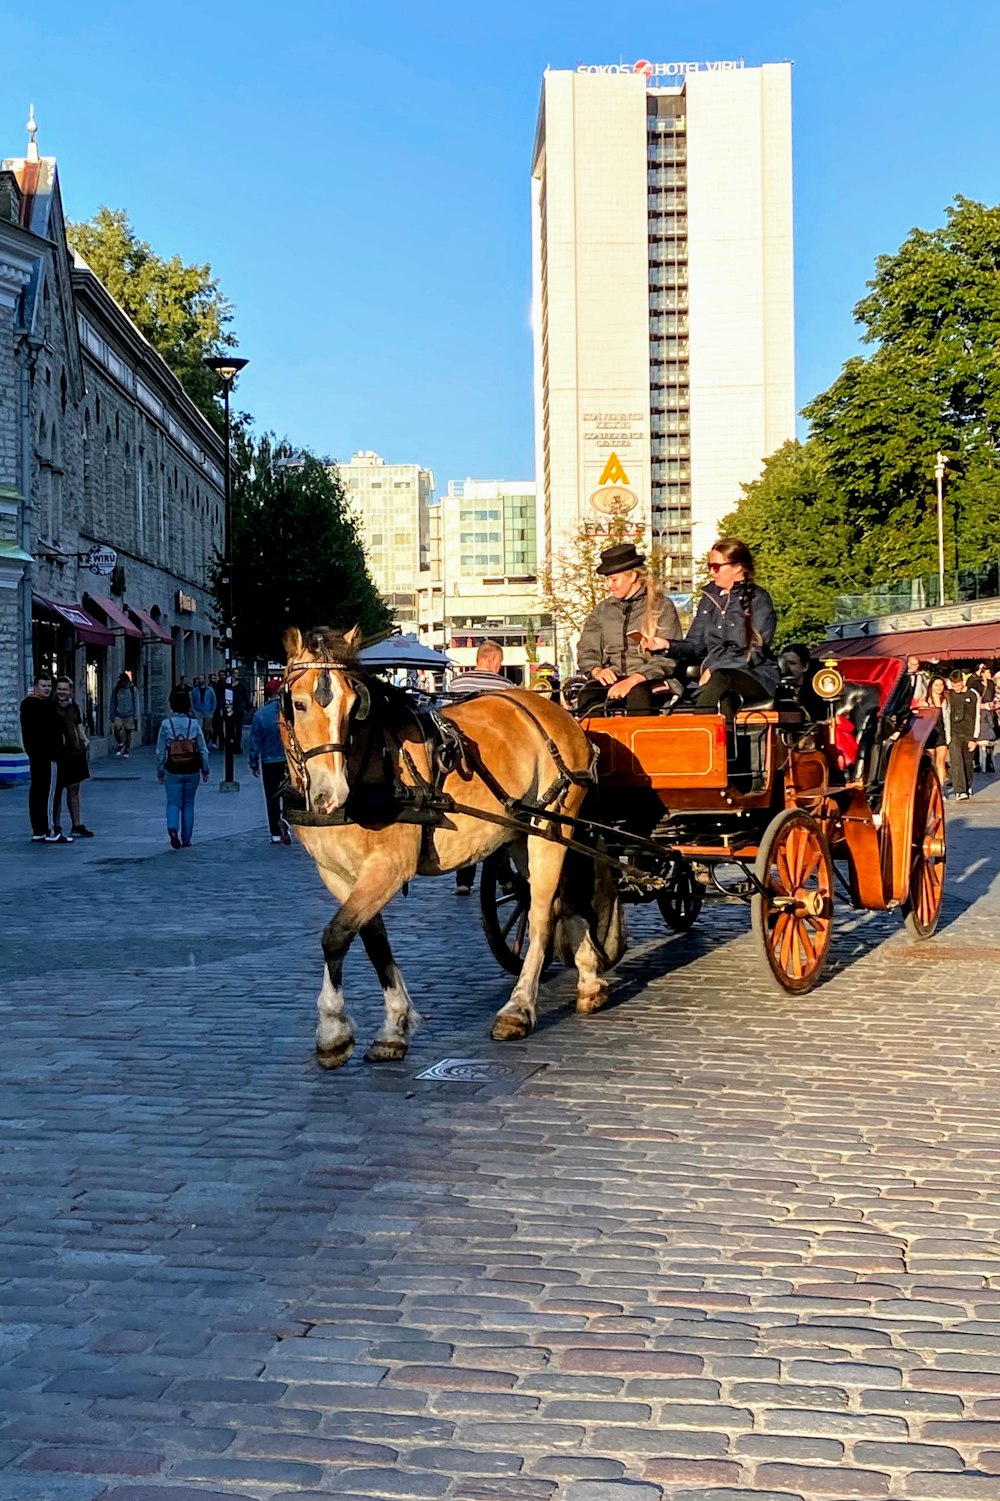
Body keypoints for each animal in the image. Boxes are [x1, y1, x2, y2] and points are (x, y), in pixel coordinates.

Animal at [280, 627, 618, 1074]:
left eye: (354, 707)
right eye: (298, 704)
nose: (330, 794)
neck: (372, 764)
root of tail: (555, 711)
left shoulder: (389, 866)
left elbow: (336, 936)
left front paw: (333, 1032)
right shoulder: (337, 874)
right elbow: (371, 940)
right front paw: (394, 1028)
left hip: (551, 827)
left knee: (542, 914)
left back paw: (518, 1008)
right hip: (522, 835)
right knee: (557, 900)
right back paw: (590, 981)